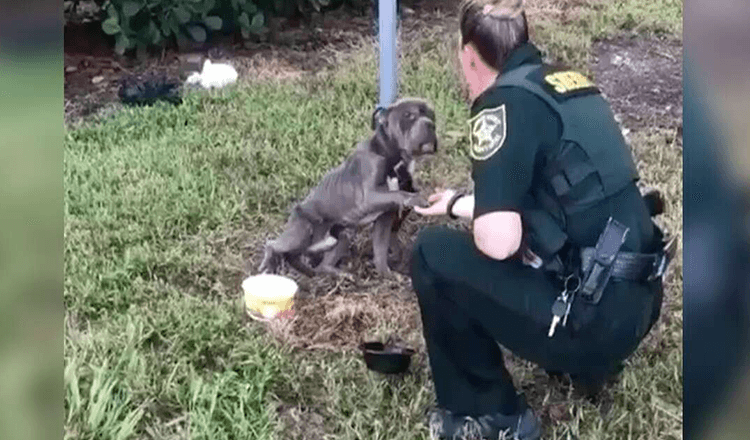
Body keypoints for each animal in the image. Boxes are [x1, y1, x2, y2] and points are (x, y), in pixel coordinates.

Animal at [258, 99, 438, 278]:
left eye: (430, 114)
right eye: (408, 115)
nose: (430, 124)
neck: (392, 158)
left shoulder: (384, 219)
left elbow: (380, 250)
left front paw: (387, 274)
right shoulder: (369, 196)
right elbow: (399, 193)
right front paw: (417, 198)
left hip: (341, 236)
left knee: (320, 265)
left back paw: (337, 274)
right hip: (303, 231)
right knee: (273, 244)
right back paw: (268, 265)